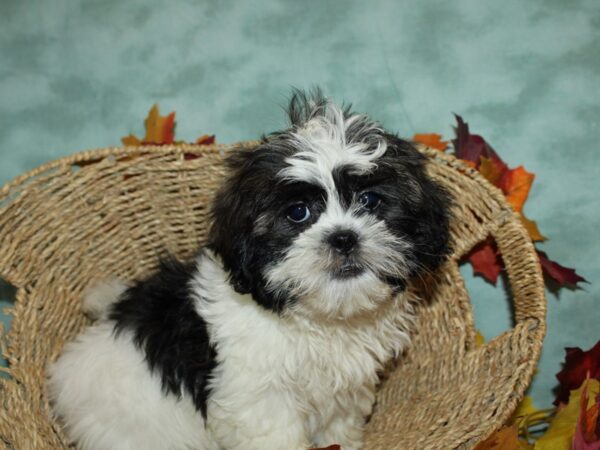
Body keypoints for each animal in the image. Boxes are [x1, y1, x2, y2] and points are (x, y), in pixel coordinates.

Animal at [48, 89, 450, 450]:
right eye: (298, 212)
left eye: (370, 201)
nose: (343, 238)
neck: (319, 321)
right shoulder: (256, 398)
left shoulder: (344, 390)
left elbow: (340, 425)